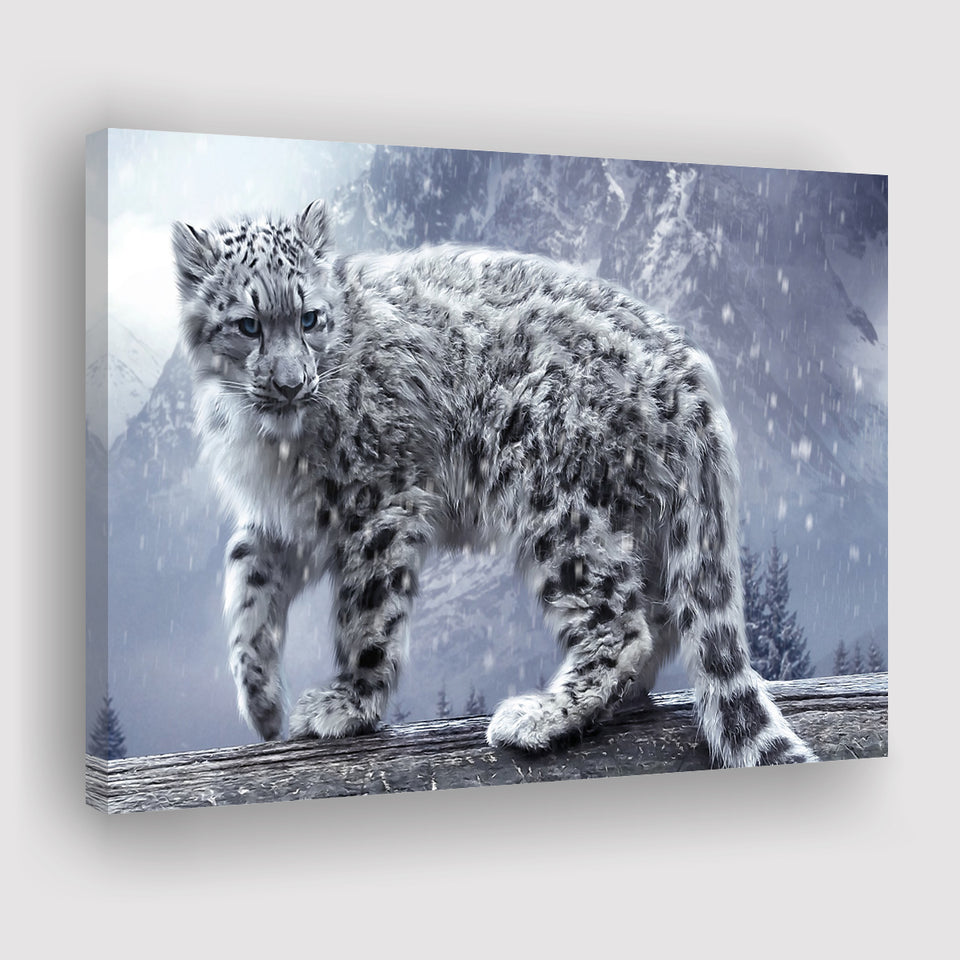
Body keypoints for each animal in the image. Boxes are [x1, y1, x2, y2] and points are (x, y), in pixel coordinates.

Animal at [172, 199, 817, 767]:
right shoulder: (289, 516)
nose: (290, 383)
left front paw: (347, 703)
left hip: (559, 502)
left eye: (309, 318)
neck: (271, 444)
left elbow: (366, 610)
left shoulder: (376, 502)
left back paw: (540, 717)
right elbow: (246, 578)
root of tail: (687, 374)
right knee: (659, 618)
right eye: (248, 325)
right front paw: (261, 702)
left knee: (624, 621)